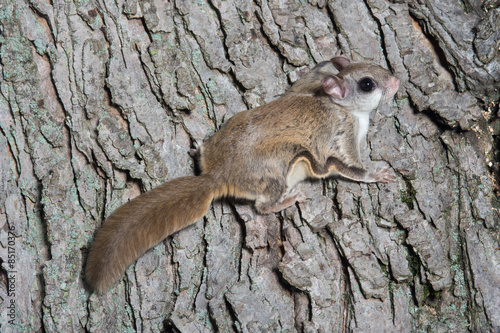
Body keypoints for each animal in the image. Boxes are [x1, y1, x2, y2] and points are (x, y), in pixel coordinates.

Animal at [85, 55, 398, 292]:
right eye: (367, 84)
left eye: (372, 63)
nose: (396, 81)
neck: (338, 105)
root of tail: (219, 176)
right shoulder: (341, 138)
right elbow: (351, 167)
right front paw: (378, 175)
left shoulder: (309, 83)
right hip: (277, 170)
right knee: (262, 206)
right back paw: (287, 200)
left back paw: (198, 148)